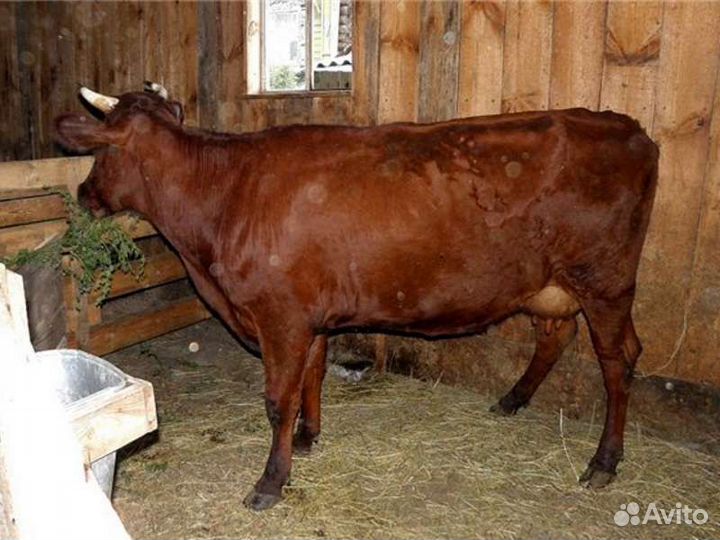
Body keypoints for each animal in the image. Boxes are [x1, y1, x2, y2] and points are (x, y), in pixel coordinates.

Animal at [55, 84, 658, 511]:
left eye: (99, 154)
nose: (83, 194)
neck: (224, 198)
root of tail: (626, 126)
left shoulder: (280, 317)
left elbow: (278, 399)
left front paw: (270, 482)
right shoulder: (310, 317)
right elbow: (313, 377)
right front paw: (308, 437)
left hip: (606, 281)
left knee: (618, 360)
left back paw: (604, 462)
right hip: (552, 284)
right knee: (557, 335)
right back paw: (513, 399)